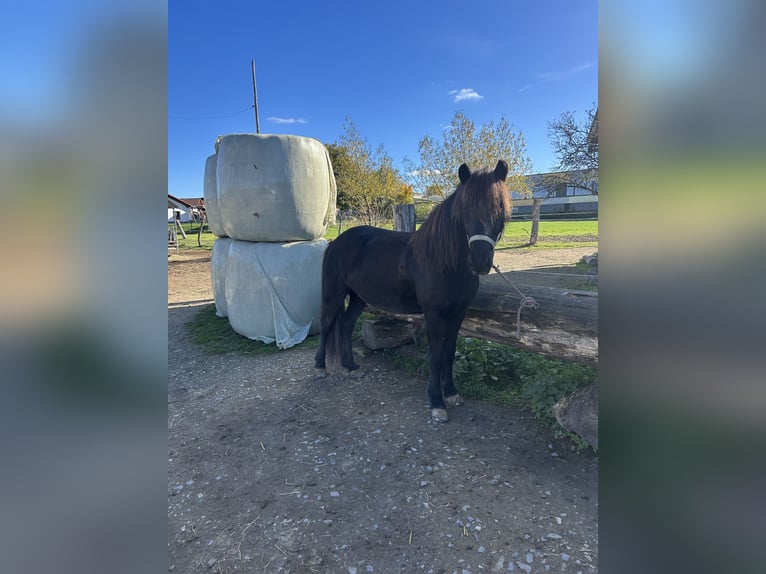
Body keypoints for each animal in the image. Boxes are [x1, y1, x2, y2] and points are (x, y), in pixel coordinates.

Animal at [314, 160, 511, 422]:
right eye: (464, 210)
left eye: (500, 209)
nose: (480, 261)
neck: (443, 261)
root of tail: (336, 241)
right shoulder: (434, 315)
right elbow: (436, 356)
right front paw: (436, 402)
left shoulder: (458, 313)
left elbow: (449, 352)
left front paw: (451, 393)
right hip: (334, 293)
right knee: (327, 324)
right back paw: (320, 367)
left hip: (358, 298)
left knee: (345, 325)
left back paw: (351, 367)